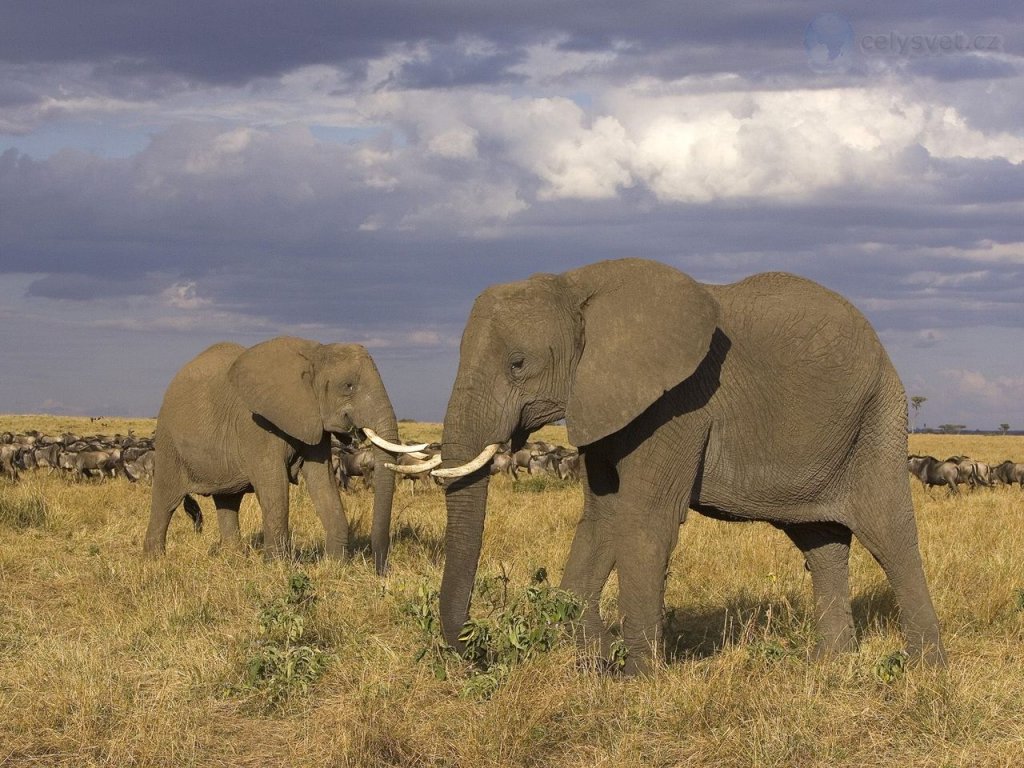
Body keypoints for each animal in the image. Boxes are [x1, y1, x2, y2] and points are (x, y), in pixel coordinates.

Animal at [140, 333, 419, 573]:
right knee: (166, 500)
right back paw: (155, 561)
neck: (316, 353)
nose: (381, 571)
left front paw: (334, 565)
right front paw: (277, 568)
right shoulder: (255, 424)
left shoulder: (312, 419)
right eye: (348, 386)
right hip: (168, 441)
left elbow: (323, 481)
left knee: (228, 501)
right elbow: (273, 485)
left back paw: (234, 559)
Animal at [413, 257, 942, 671]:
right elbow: (602, 519)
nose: (477, 651)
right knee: (821, 541)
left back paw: (923, 669)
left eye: (518, 363)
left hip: (877, 418)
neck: (575, 286)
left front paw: (637, 677)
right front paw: (597, 659)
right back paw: (830, 665)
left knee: (888, 533)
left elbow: (645, 521)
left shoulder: (678, 406)